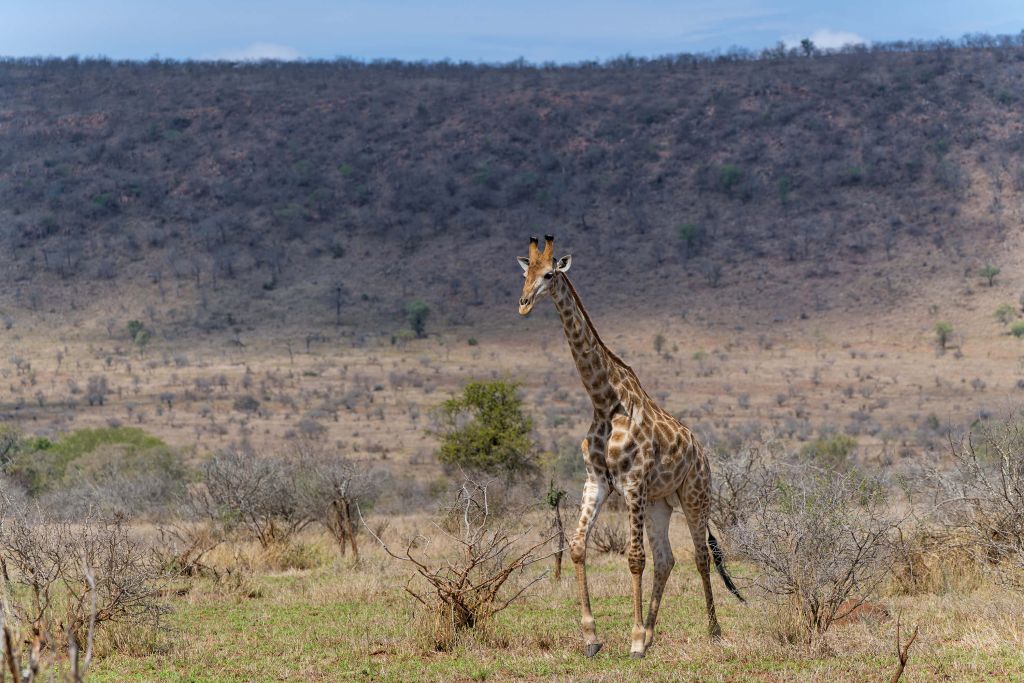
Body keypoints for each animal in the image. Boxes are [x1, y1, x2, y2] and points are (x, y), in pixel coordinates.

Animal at [516, 235, 744, 659]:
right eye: (525, 272)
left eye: (550, 274)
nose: (523, 303)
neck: (605, 401)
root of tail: (702, 453)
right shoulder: (597, 481)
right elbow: (577, 547)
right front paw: (592, 637)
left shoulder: (633, 482)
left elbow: (634, 558)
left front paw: (634, 639)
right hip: (659, 503)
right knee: (667, 559)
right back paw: (653, 634)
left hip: (695, 496)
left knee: (700, 556)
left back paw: (712, 630)